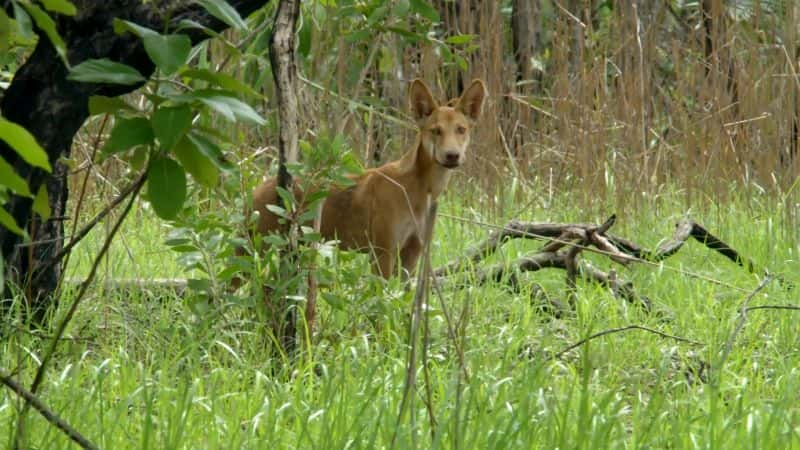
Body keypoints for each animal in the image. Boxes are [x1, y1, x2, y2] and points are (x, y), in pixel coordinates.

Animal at [250, 79, 488, 280]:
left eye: (461, 130)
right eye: (436, 131)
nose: (452, 155)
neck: (418, 192)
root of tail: (256, 189)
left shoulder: (412, 251)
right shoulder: (382, 251)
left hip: (291, 250)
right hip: (258, 247)